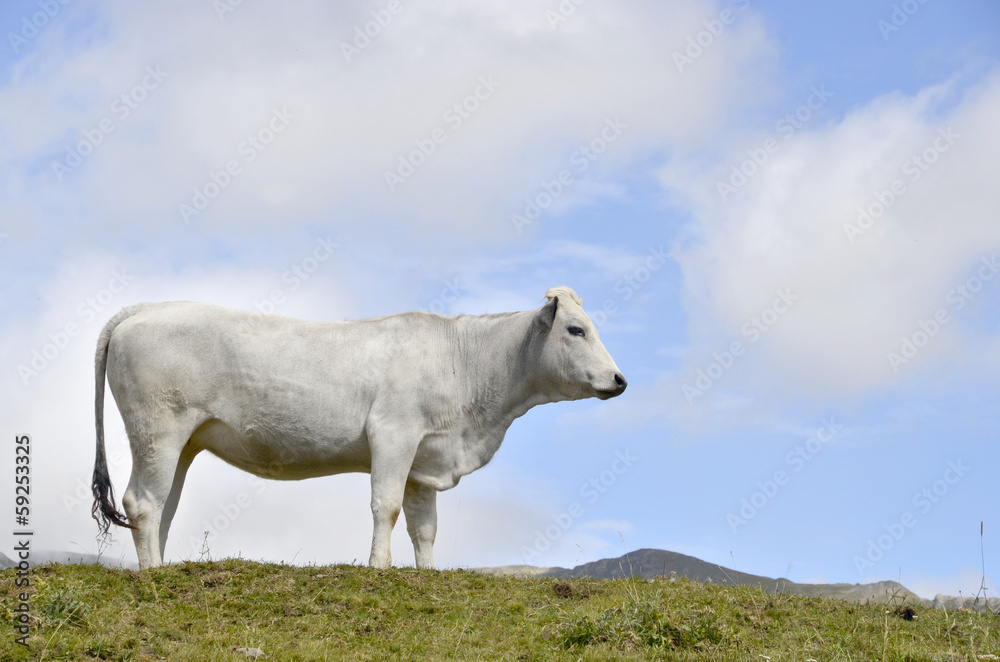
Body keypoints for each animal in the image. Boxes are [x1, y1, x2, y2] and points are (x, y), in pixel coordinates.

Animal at [91, 286, 626, 569]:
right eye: (576, 329)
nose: (620, 380)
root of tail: (147, 308)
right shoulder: (393, 433)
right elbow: (385, 507)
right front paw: (379, 569)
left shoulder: (425, 457)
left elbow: (424, 527)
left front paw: (427, 575)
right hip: (158, 429)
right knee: (143, 502)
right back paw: (153, 574)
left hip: (183, 442)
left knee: (163, 507)